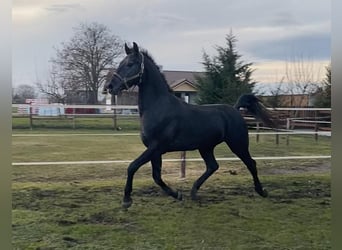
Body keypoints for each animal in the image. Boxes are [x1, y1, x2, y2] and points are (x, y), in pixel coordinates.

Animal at [103, 42, 276, 208]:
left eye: (130, 63)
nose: (110, 87)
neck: (159, 107)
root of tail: (235, 110)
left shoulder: (156, 147)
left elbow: (132, 167)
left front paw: (126, 200)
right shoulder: (155, 150)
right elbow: (156, 176)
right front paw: (177, 195)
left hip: (237, 144)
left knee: (251, 163)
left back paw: (262, 191)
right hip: (206, 147)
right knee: (213, 166)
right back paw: (193, 192)